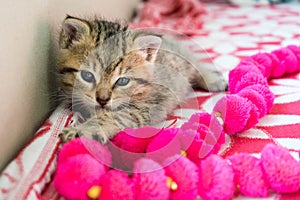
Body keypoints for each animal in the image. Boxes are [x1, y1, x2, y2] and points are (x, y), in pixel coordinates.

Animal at [56, 16, 225, 144]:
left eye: (122, 81)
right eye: (88, 76)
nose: (102, 100)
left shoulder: (146, 106)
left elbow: (115, 116)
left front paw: (83, 130)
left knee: (196, 64)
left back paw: (213, 79)